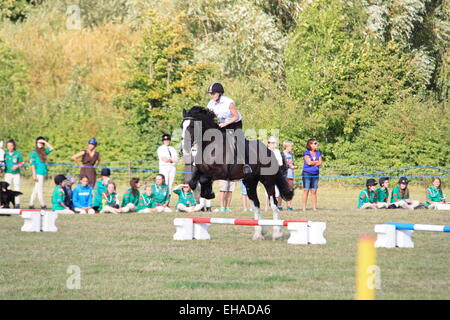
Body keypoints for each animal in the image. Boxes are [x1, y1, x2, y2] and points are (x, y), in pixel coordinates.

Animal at [181, 106, 294, 239]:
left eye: (191, 126)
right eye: (181, 126)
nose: (184, 148)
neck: (210, 145)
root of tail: (269, 151)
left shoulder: (220, 172)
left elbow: (203, 179)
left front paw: (208, 194)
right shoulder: (200, 170)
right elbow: (192, 182)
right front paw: (200, 199)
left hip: (268, 181)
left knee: (274, 204)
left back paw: (277, 233)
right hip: (250, 182)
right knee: (256, 204)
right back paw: (259, 233)